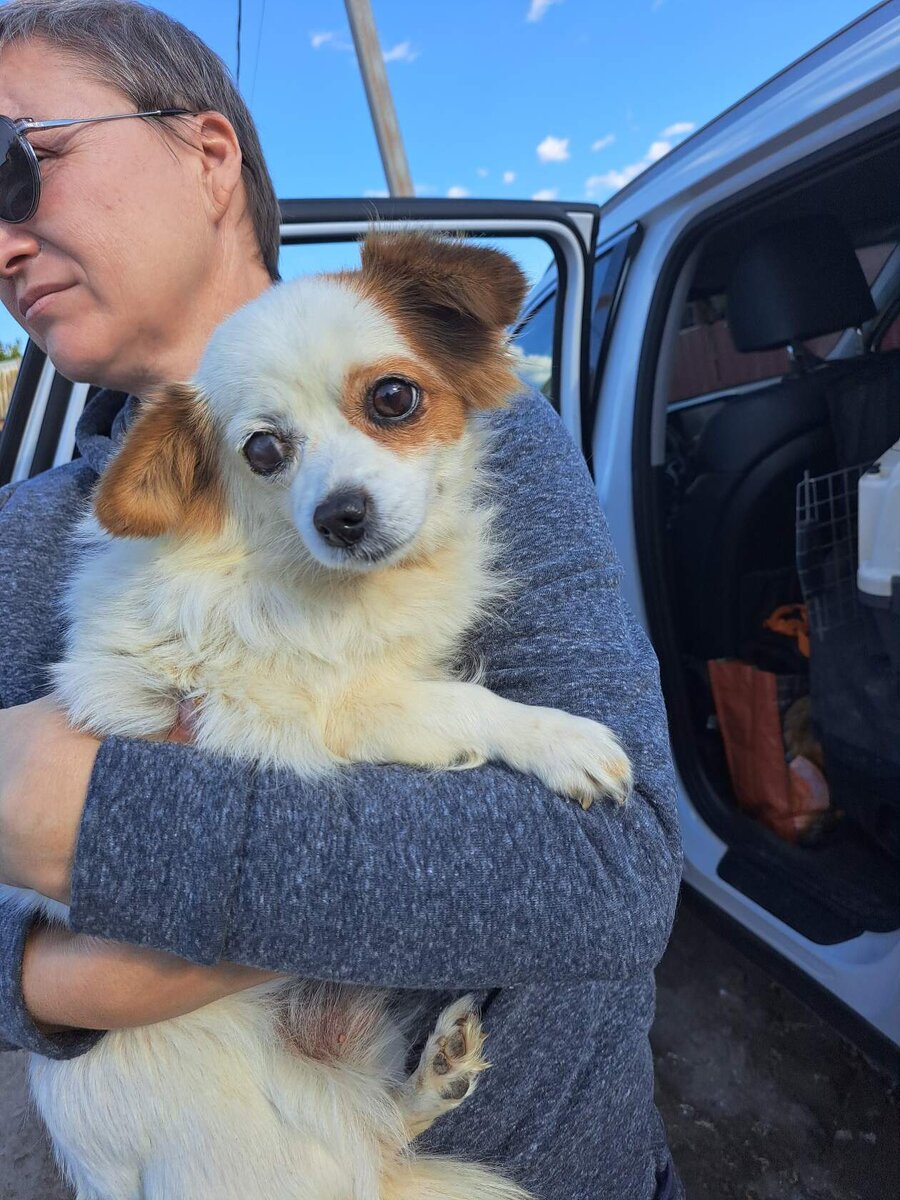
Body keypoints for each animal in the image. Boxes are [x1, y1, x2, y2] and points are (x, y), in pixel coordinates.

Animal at [15, 229, 633, 1195]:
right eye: (264, 451)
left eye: (393, 397)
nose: (343, 515)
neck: (329, 589)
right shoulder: (304, 718)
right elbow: (467, 700)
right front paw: (561, 739)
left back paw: (440, 1071)